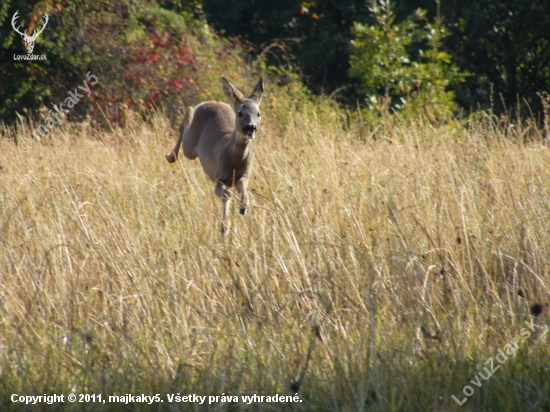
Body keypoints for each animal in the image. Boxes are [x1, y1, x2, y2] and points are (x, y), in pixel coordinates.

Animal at [166, 75, 266, 233]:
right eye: (240, 113)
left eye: (258, 113)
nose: (251, 127)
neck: (234, 158)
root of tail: (208, 102)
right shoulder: (219, 177)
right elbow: (227, 195)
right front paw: (225, 227)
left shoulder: (244, 174)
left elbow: (243, 187)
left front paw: (243, 209)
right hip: (189, 147)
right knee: (185, 123)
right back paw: (170, 156)